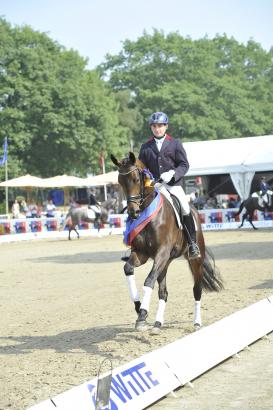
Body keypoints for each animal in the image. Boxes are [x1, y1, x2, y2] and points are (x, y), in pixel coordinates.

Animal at [109, 152, 222, 334]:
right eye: (120, 181)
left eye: (136, 179)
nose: (134, 212)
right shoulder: (142, 254)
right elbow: (128, 269)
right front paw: (139, 308)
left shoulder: (161, 252)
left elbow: (148, 281)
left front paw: (142, 315)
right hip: (165, 262)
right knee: (163, 292)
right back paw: (157, 324)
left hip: (193, 260)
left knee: (197, 290)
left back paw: (197, 323)